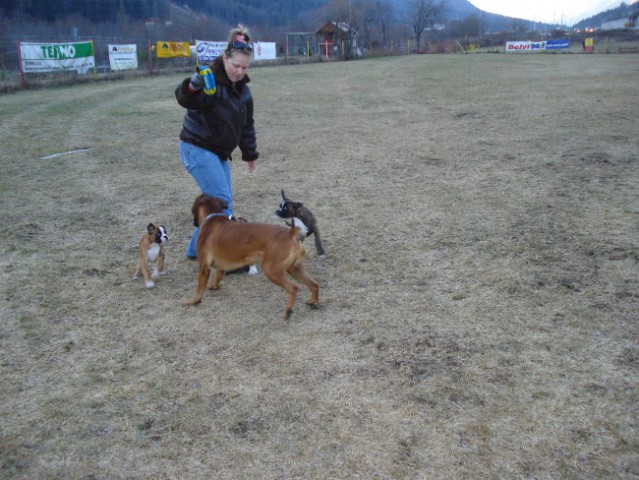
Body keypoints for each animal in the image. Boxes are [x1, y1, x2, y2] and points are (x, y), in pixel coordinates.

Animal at [188, 193, 322, 316]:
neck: (212, 217)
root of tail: (291, 233)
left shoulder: (204, 267)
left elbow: (200, 288)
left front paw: (194, 301)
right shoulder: (221, 264)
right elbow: (218, 275)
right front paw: (213, 286)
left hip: (272, 270)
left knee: (293, 288)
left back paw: (288, 311)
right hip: (294, 269)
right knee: (314, 284)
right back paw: (313, 302)